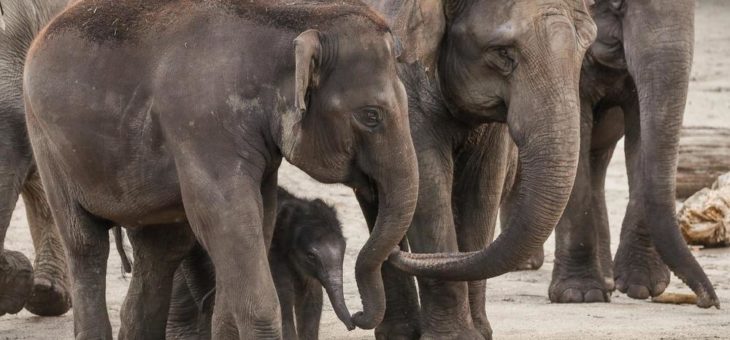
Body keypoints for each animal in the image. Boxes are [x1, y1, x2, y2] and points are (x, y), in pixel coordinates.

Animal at [165, 186, 350, 340]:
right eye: (311, 255)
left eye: (345, 246)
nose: (353, 323)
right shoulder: (270, 258)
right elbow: (282, 299)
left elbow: (312, 300)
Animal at [356, 1, 596, 338]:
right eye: (502, 53)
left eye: (584, 49)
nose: (400, 255)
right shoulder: (399, 88)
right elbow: (426, 187)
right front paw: (455, 337)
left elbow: (483, 189)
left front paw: (479, 335)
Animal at [500, 0, 716, 308]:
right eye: (616, 5)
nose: (708, 301)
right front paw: (579, 295)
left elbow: (641, 136)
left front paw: (642, 287)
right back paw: (527, 264)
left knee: (596, 163)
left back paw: (607, 280)